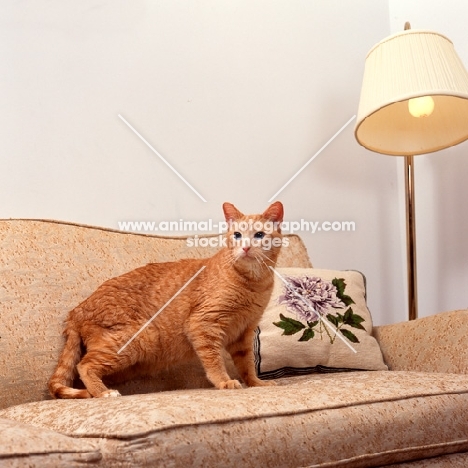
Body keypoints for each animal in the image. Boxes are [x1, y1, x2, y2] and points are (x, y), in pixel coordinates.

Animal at [47, 201, 284, 398]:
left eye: (259, 234)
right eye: (237, 235)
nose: (245, 247)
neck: (253, 283)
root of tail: (77, 310)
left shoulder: (244, 333)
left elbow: (247, 365)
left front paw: (256, 383)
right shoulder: (202, 324)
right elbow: (214, 361)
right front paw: (224, 382)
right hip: (139, 338)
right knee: (84, 366)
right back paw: (103, 392)